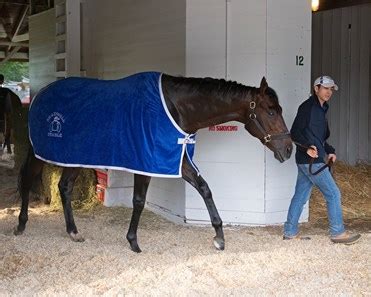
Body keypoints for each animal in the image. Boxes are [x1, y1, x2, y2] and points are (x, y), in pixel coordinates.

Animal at [15, 73, 294, 251]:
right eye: (271, 111)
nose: (289, 149)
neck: (176, 107)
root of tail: (41, 94)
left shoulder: (177, 160)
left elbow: (205, 189)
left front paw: (219, 237)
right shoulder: (146, 162)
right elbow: (138, 201)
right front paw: (133, 241)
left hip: (75, 157)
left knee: (64, 187)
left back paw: (73, 232)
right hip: (41, 153)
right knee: (27, 179)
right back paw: (21, 225)